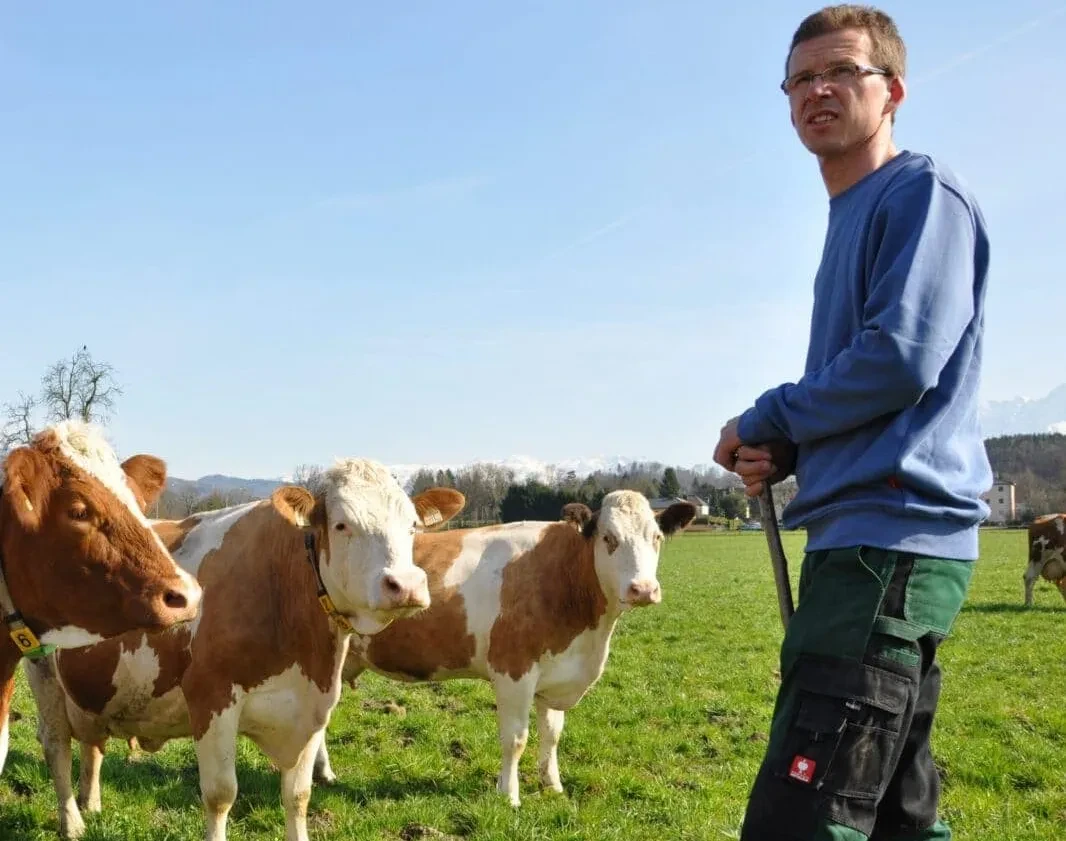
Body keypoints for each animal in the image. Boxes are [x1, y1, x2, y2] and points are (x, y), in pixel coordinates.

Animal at [20, 458, 462, 839]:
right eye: (341, 525)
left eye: (412, 526)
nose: (406, 584)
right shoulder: (211, 697)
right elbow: (220, 796)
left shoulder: (312, 706)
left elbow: (298, 795)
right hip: (40, 672)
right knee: (56, 744)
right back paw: (72, 822)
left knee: (91, 743)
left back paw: (90, 803)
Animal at [311, 488, 695, 805]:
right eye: (608, 538)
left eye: (656, 537)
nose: (643, 589)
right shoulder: (514, 672)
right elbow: (516, 738)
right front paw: (509, 795)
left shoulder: (555, 676)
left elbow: (552, 735)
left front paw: (552, 786)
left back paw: (323, 773)